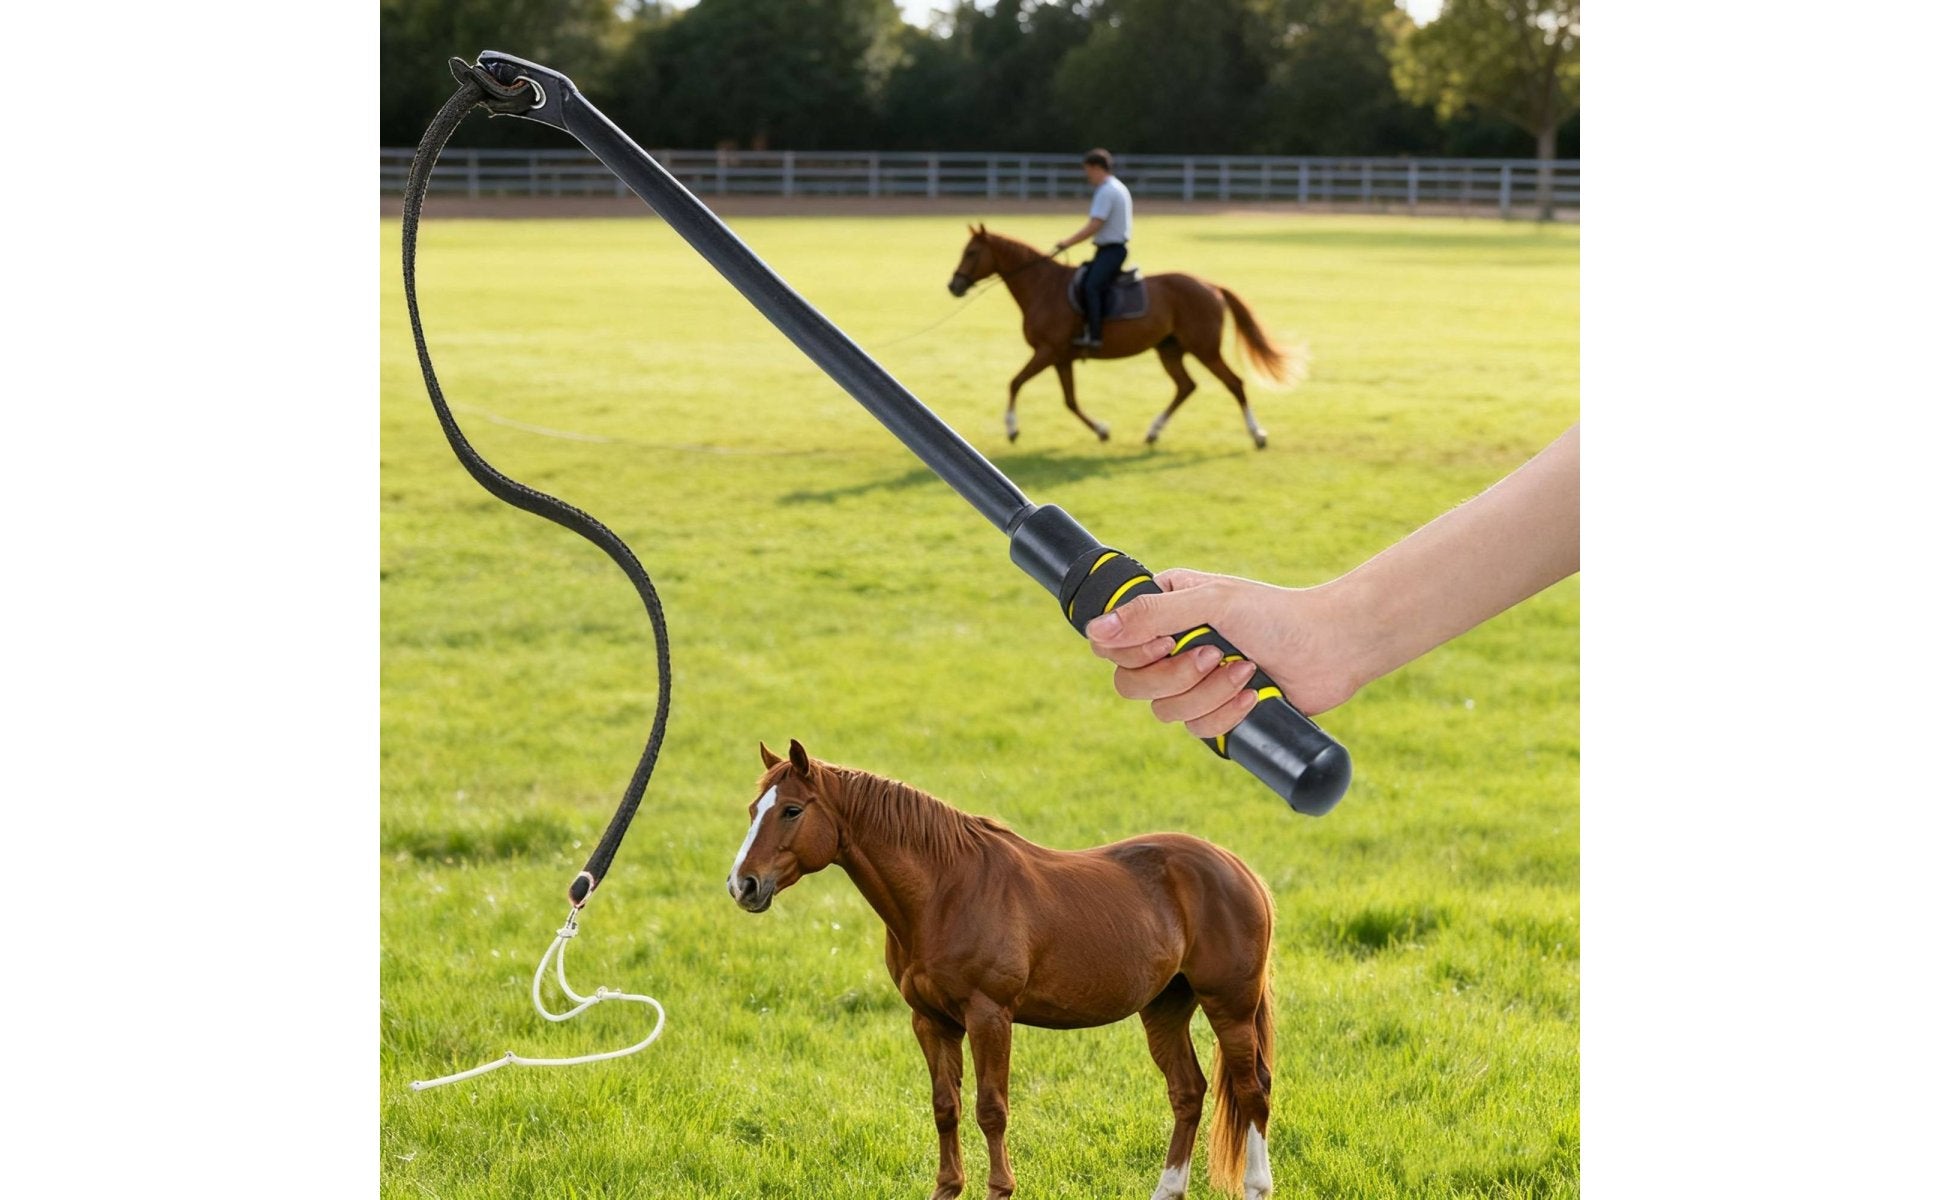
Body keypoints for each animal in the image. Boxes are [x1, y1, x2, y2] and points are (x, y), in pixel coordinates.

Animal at [727, 739, 1278, 1200]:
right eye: (754, 810)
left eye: (792, 810)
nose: (742, 885)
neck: (945, 891)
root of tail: (1238, 869)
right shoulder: (930, 1021)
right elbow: (945, 1107)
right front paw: (947, 1188)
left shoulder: (989, 1016)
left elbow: (991, 1110)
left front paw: (999, 1189)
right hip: (1165, 1008)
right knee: (1188, 1092)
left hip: (1229, 1008)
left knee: (1253, 1090)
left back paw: (1257, 1185)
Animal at [946, 225, 1299, 451]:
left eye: (972, 252)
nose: (954, 285)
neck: (1043, 288)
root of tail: (1211, 286)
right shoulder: (1061, 358)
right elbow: (1070, 401)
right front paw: (1102, 430)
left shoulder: (1046, 352)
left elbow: (1015, 383)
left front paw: (1012, 428)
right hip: (1170, 350)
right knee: (1186, 386)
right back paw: (1153, 432)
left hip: (1205, 349)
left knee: (1234, 384)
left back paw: (1257, 435)